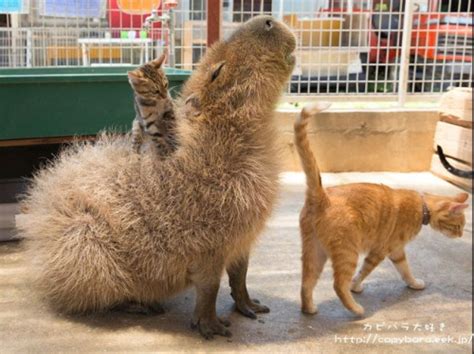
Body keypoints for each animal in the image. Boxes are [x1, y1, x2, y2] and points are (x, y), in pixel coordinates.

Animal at [294, 102, 468, 316]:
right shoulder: (380, 251)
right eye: (458, 226)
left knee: (306, 281)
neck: (422, 206)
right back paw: (357, 309)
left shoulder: (397, 251)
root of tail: (321, 196)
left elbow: (405, 270)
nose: (461, 235)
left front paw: (413, 283)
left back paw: (309, 308)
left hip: (314, 251)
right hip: (347, 252)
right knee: (338, 284)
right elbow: (364, 271)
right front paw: (356, 287)